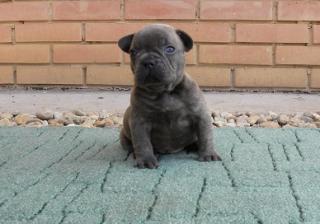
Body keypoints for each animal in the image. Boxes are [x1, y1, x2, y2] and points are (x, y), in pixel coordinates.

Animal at [117, 24, 220, 168]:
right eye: (133, 52)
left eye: (170, 49)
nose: (148, 61)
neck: (164, 92)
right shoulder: (139, 122)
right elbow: (142, 142)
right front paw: (146, 160)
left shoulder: (201, 116)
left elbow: (206, 136)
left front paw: (208, 154)